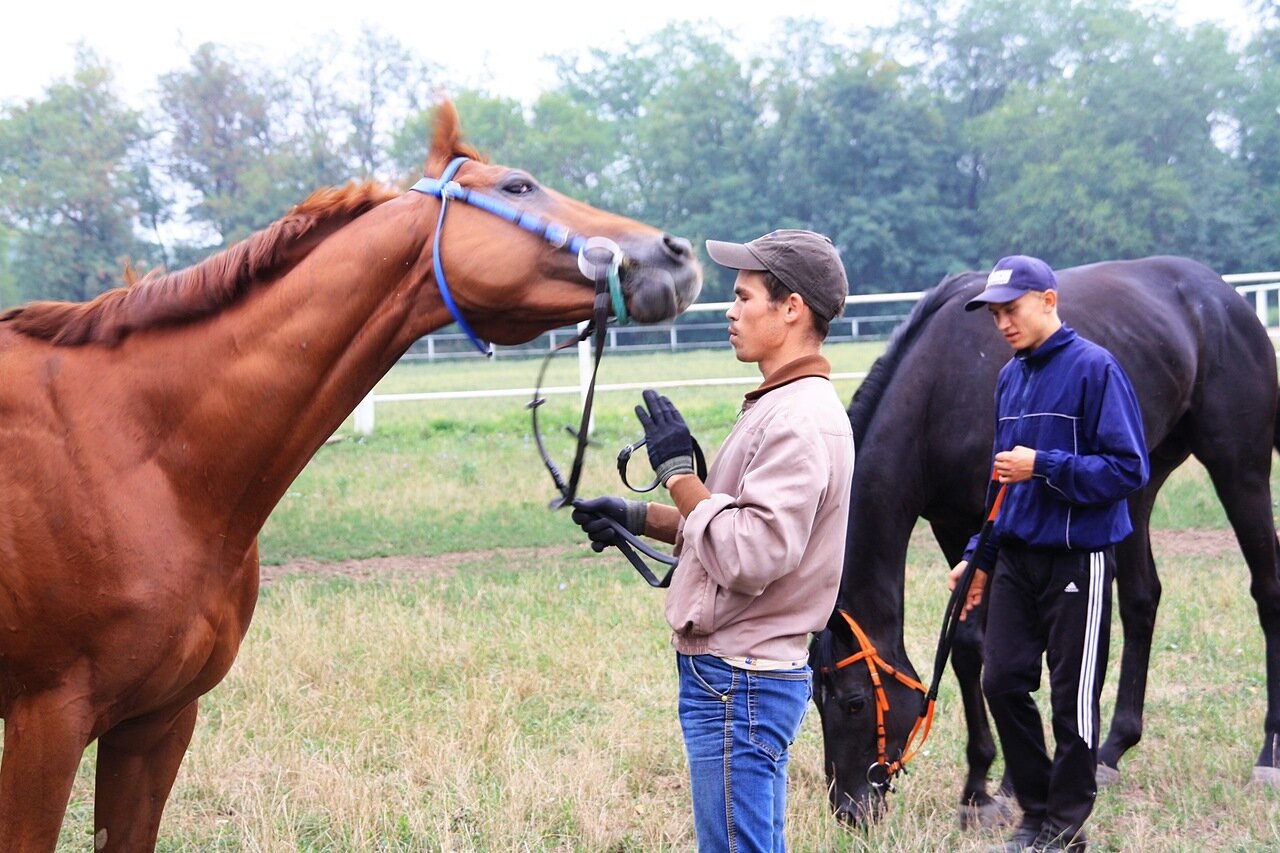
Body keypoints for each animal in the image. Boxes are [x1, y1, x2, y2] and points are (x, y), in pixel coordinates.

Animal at [814, 253, 1280, 824]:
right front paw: (979, 783)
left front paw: (1004, 782)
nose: (849, 808)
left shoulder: (989, 520)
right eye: (815, 699)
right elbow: (968, 647)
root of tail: (1225, 298)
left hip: (1240, 468)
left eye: (855, 702)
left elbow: (1003, 649)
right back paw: (1111, 749)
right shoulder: (953, 525)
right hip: (1136, 488)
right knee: (1141, 601)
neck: (938, 390)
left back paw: (1267, 755)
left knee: (1266, 592)